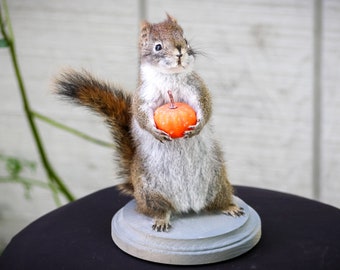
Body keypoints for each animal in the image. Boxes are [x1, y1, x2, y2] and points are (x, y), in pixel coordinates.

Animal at [54, 13, 243, 231]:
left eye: (185, 39)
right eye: (158, 47)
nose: (179, 51)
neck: (170, 77)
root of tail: (187, 206)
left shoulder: (197, 88)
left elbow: (205, 107)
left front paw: (198, 126)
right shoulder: (143, 96)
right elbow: (141, 115)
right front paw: (154, 132)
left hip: (217, 182)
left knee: (216, 202)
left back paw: (229, 207)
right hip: (149, 193)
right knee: (161, 209)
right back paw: (161, 219)